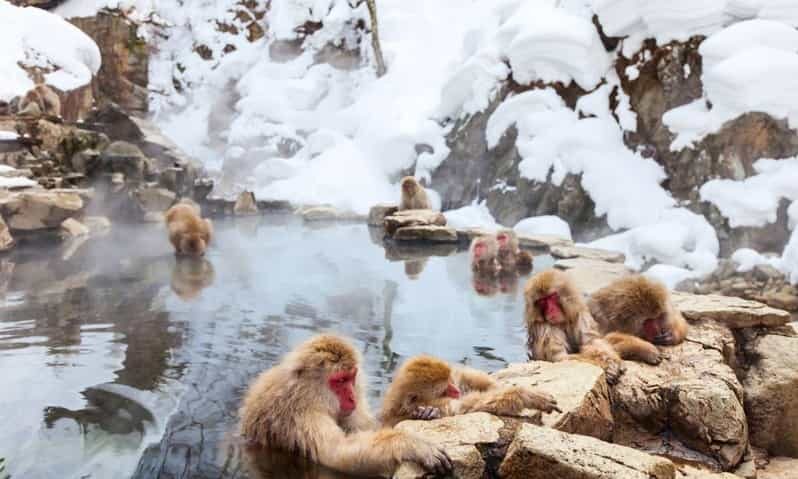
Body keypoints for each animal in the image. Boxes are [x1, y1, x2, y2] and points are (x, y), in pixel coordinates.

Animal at [239, 334, 453, 477]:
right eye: (340, 381)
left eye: (351, 378)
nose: (352, 397)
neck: (306, 394)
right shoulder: (303, 415)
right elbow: (336, 455)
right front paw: (412, 444)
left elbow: (368, 429)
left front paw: (423, 413)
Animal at [380, 355, 559, 427]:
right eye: (445, 390)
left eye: (450, 381)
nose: (455, 390)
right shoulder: (442, 405)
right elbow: (470, 407)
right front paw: (527, 396)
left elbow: (466, 377)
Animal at [523, 270, 662, 384]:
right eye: (542, 302)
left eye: (551, 297)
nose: (550, 310)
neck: (562, 322)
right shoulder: (544, 328)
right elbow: (561, 358)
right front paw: (608, 367)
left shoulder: (580, 314)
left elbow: (593, 342)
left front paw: (618, 358)